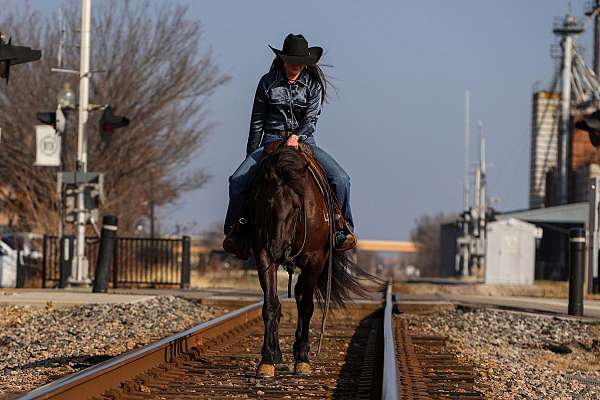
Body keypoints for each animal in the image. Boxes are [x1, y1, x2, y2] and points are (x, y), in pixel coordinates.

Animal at [247, 145, 366, 378]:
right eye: (267, 203)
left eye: (296, 206)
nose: (278, 250)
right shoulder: (263, 253)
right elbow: (271, 305)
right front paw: (267, 361)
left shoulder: (315, 259)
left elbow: (307, 306)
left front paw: (302, 359)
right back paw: (278, 357)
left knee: (302, 294)